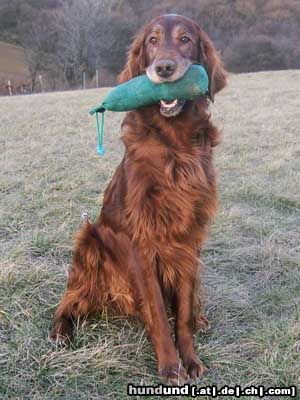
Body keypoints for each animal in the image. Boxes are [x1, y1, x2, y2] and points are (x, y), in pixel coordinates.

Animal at [50, 14, 226, 382]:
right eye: (153, 41)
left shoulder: (188, 239)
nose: (164, 68)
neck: (174, 143)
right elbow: (158, 311)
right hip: (89, 239)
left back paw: (200, 318)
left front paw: (189, 358)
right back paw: (61, 330)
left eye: (186, 39)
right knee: (69, 300)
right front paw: (170, 365)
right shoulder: (140, 242)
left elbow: (182, 310)